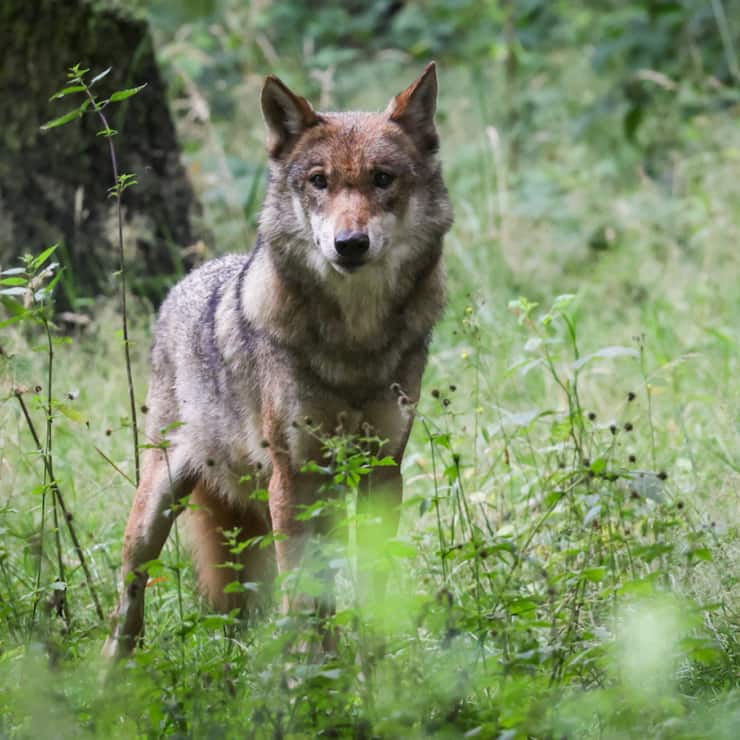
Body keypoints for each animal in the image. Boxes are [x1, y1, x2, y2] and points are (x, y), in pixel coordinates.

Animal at [103, 63, 453, 659]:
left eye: (383, 179)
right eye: (319, 181)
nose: (350, 244)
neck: (354, 342)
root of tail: (185, 283)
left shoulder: (383, 471)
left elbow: (371, 584)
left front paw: (374, 667)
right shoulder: (293, 477)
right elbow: (301, 592)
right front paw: (308, 671)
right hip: (157, 506)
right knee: (129, 594)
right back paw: (112, 672)